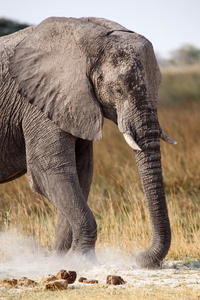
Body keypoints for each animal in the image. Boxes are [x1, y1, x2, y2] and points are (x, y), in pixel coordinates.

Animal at [0, 17, 176, 268]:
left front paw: (61, 262)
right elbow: (49, 172)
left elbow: (81, 173)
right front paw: (80, 261)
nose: (140, 258)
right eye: (117, 89)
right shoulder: (37, 103)